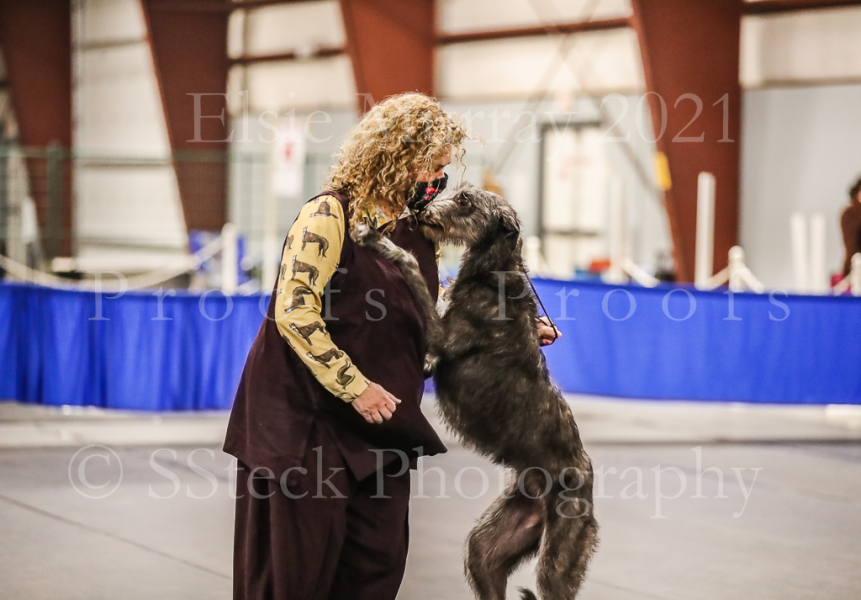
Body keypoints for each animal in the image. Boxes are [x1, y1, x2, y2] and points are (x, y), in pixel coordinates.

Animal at [351, 184, 597, 600]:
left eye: (466, 200)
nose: (419, 207)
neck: (492, 276)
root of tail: (587, 480)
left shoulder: (441, 338)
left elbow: (412, 267)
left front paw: (379, 241)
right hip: (492, 543)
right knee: (486, 563)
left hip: (559, 557)